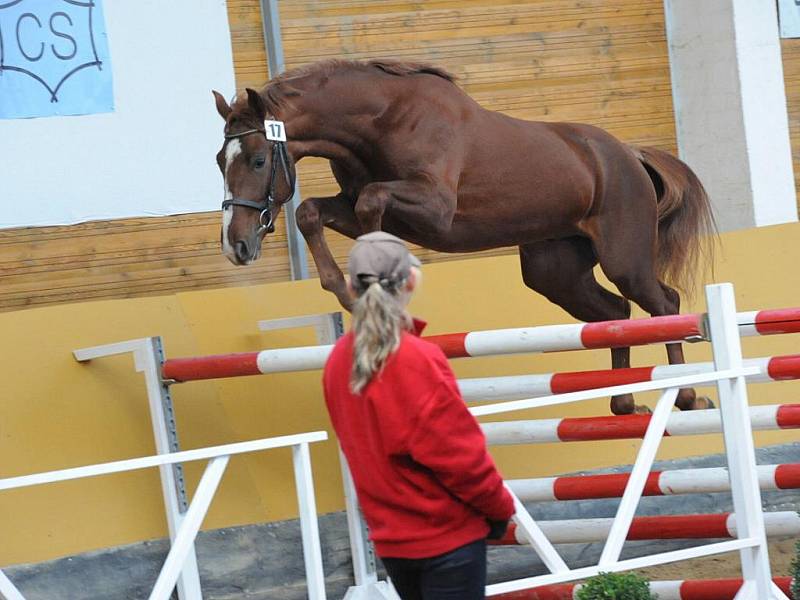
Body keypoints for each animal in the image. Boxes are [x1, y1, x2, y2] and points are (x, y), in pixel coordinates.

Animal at [211, 61, 712, 418]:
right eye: (220, 159)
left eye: (258, 160)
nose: (236, 245)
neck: (381, 120)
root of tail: (629, 155)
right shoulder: (356, 207)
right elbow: (310, 211)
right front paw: (346, 291)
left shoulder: (434, 209)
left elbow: (371, 202)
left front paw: (371, 289)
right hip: (555, 272)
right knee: (615, 313)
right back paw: (625, 402)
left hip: (624, 258)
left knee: (663, 304)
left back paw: (686, 397)